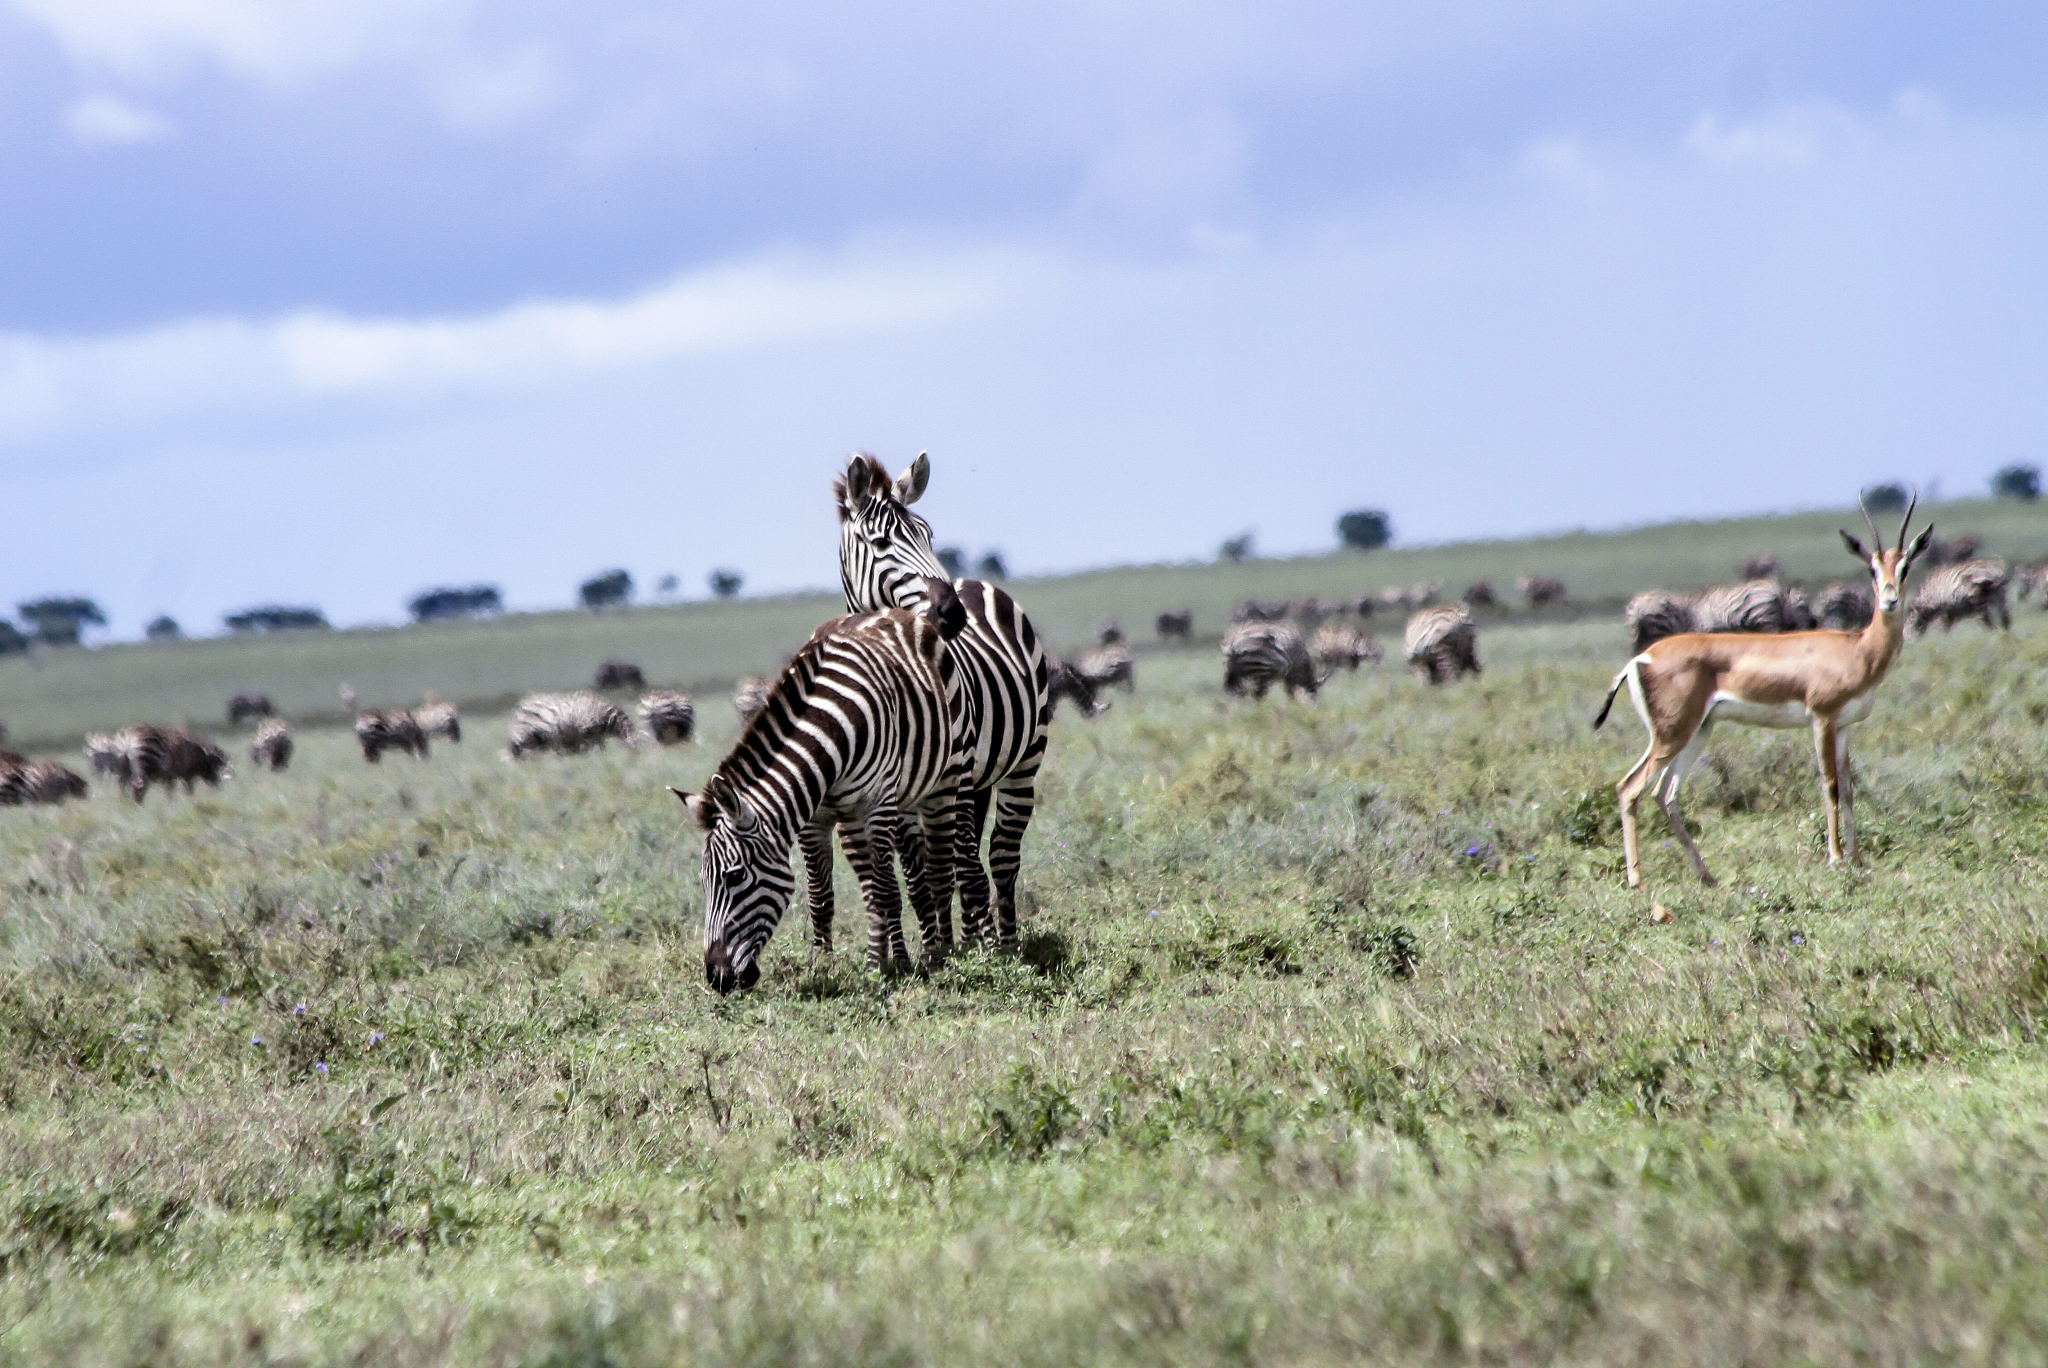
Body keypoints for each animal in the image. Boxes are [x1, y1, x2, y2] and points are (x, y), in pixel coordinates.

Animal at [508, 692, 636, 758]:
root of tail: (522, 706)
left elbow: (599, 748)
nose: (633, 758)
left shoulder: (594, 736)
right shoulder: (586, 732)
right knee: (527, 755)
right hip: (528, 735)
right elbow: (587, 749)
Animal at [675, 606, 973, 991]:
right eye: (704, 881)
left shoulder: (877, 804)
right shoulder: (814, 817)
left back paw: (939, 952)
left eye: (735, 876)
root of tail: (893, 611)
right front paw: (824, 965)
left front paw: (879, 966)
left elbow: (885, 891)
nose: (717, 978)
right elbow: (821, 896)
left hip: (944, 781)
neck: (831, 735)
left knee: (935, 873)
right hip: (885, 806)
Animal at [835, 452, 1050, 949]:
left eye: (928, 537)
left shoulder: (958, 771)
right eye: (880, 542)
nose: (953, 613)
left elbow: (963, 864)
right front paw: (936, 947)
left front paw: (981, 950)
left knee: (1000, 855)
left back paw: (1005, 941)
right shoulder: (895, 789)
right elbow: (918, 875)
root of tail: (975, 582)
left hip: (1022, 760)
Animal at [1593, 497, 1931, 894]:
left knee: (1665, 794)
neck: (1858, 648)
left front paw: (1857, 859)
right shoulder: (1821, 719)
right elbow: (1830, 785)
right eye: (1871, 569)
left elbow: (1849, 789)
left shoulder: (1844, 727)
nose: (1890, 600)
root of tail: (1639, 658)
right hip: (1672, 734)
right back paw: (1637, 881)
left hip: (1697, 731)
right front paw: (1835, 860)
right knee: (1629, 788)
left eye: (1905, 567)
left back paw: (1707, 876)